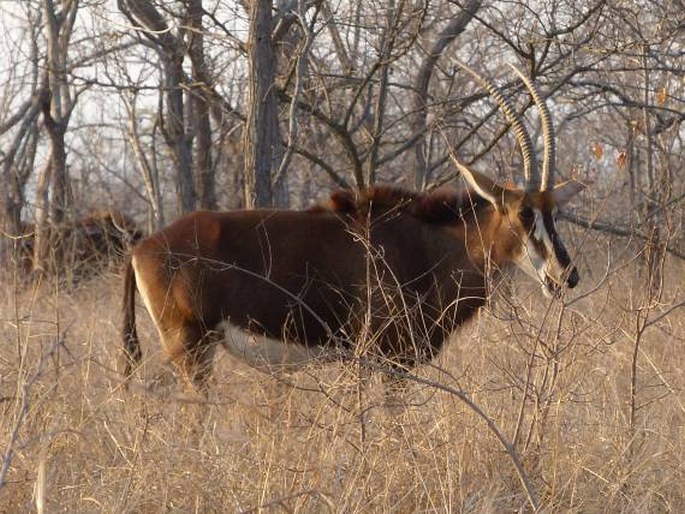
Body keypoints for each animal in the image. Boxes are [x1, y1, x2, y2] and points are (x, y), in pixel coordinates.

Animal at [120, 64, 584, 392]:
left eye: (553, 213)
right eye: (523, 214)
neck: (431, 244)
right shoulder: (383, 359)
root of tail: (141, 249)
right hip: (188, 346)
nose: (566, 275)